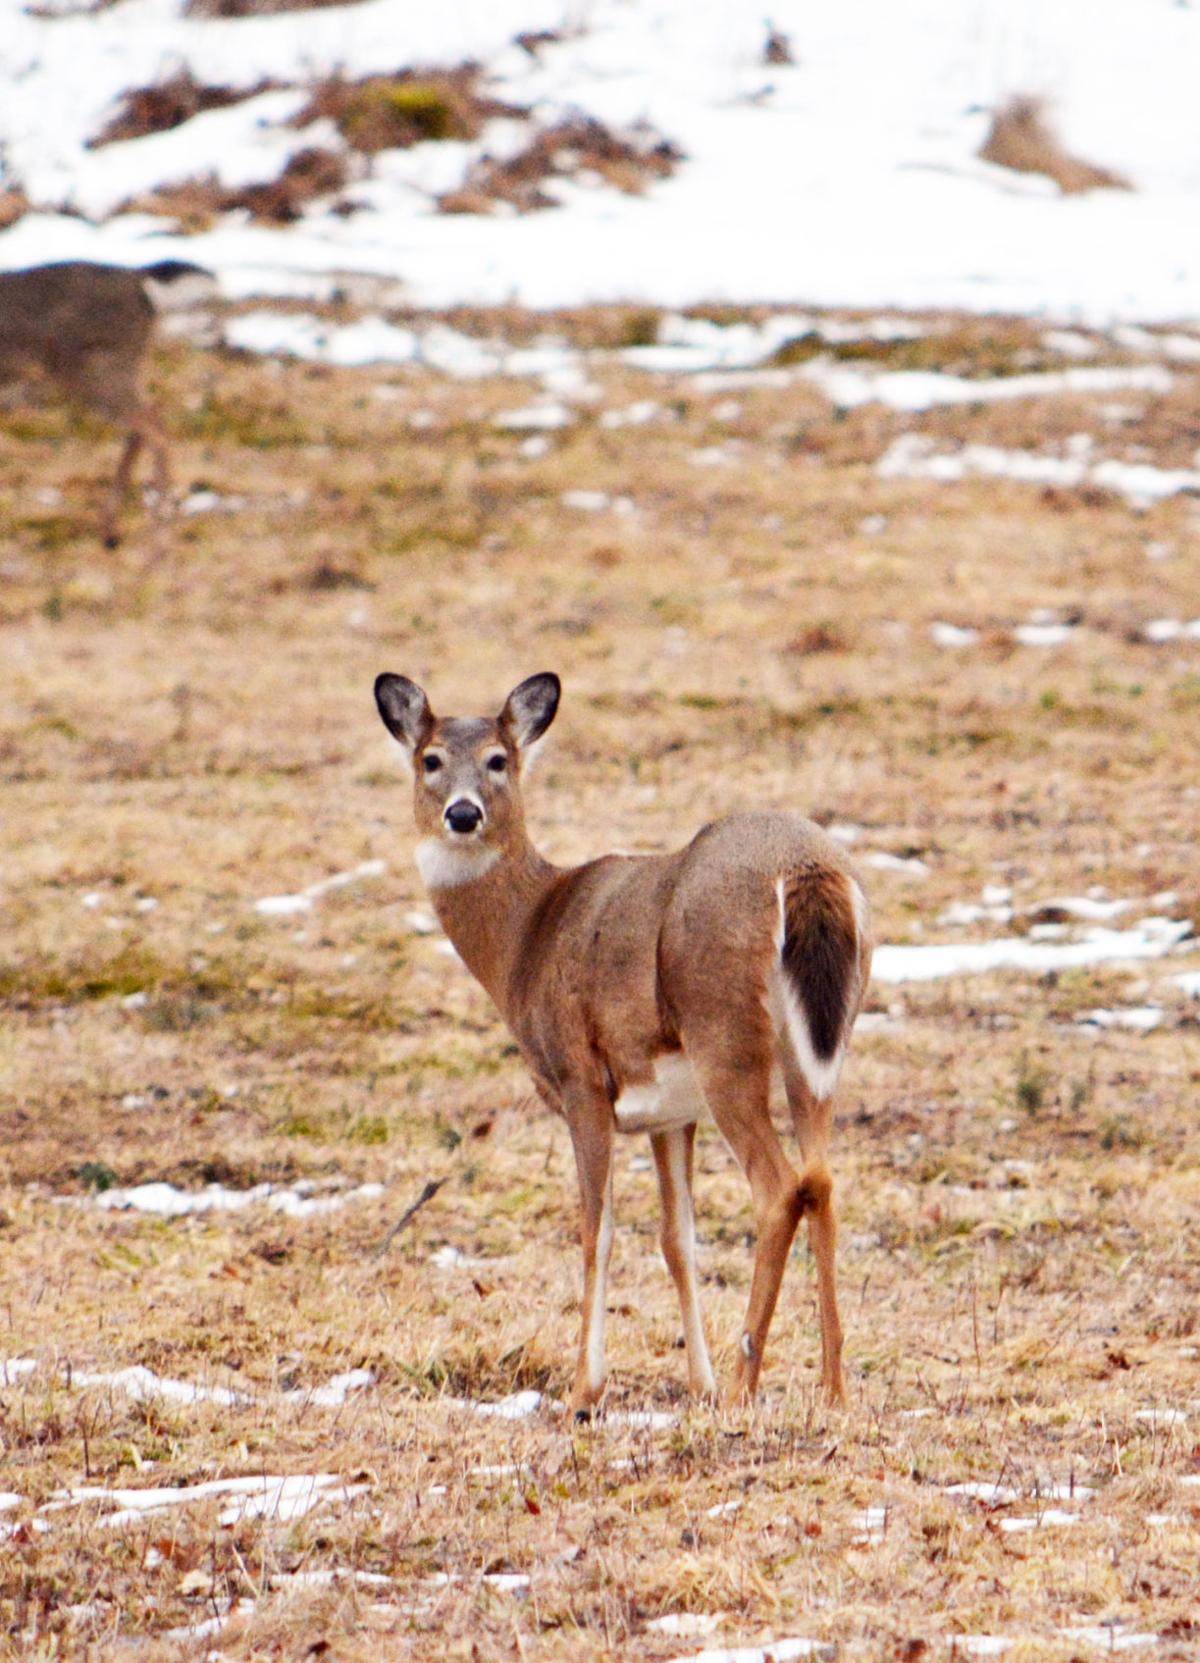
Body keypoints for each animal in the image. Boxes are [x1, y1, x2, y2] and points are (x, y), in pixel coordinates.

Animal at [0, 258, 214, 548]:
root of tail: (141, 281)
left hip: (98, 367)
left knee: (155, 429)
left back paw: (158, 540)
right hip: (125, 365)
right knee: (149, 421)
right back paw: (112, 531)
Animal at [373, 671, 873, 1418]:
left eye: (498, 759)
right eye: (430, 759)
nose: (462, 814)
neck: (527, 938)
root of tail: (808, 868)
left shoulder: (581, 1078)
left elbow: (596, 1230)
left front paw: (585, 1392)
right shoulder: (671, 1110)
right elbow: (677, 1238)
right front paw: (698, 1383)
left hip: (723, 1032)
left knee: (779, 1186)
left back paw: (747, 1385)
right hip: (820, 1045)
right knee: (823, 1179)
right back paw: (833, 1388)